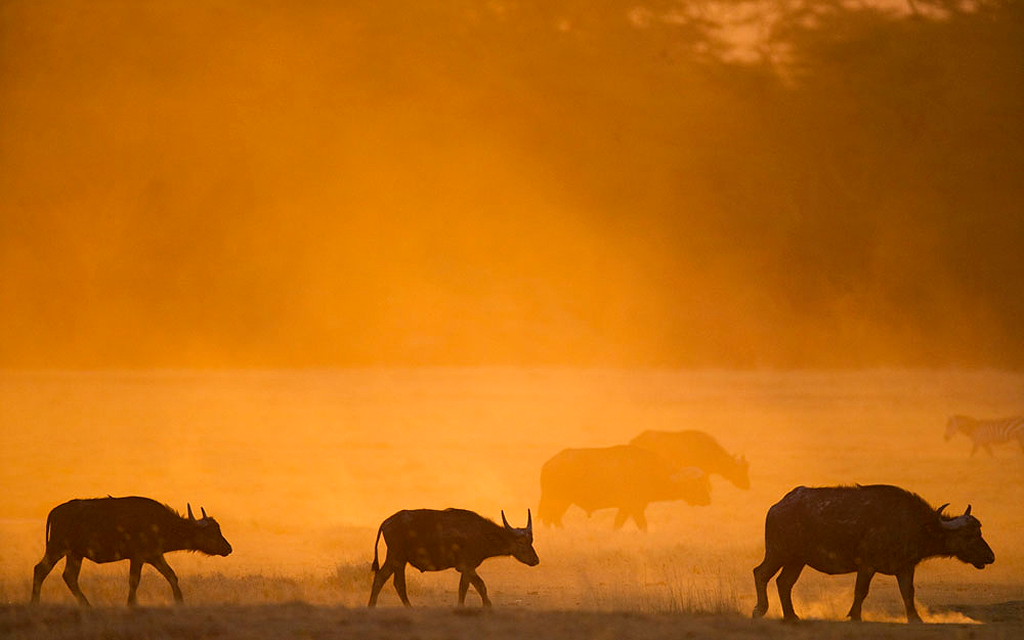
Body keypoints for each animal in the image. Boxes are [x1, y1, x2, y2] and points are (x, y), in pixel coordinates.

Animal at [33, 497, 233, 606]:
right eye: (211, 532)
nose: (228, 548)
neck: (160, 523)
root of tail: (57, 511)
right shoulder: (138, 558)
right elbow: (134, 581)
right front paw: (131, 604)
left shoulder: (155, 556)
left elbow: (172, 575)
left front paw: (179, 601)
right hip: (57, 548)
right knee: (40, 570)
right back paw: (35, 602)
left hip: (75, 554)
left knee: (69, 576)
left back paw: (86, 605)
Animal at [370, 505, 544, 606]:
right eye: (521, 542)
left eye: (531, 541)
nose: (535, 560)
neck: (482, 533)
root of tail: (386, 522)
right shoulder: (467, 566)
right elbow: (478, 586)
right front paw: (485, 607)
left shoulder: (466, 569)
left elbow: (467, 588)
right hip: (396, 557)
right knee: (387, 580)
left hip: (398, 560)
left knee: (391, 581)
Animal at [536, 442, 712, 532]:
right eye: (695, 483)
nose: (707, 500)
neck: (652, 471)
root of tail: (548, 465)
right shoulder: (635, 507)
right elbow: (642, 525)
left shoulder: (626, 508)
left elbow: (618, 524)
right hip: (559, 500)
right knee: (551, 518)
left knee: (552, 519)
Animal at [749, 481, 995, 622]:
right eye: (969, 535)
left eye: (979, 531)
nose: (990, 556)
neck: (914, 524)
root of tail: (778, 506)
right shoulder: (866, 566)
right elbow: (861, 592)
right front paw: (855, 616)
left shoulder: (905, 568)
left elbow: (908, 593)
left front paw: (915, 619)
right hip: (778, 553)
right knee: (761, 573)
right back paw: (760, 610)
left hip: (797, 560)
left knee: (784, 583)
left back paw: (791, 616)